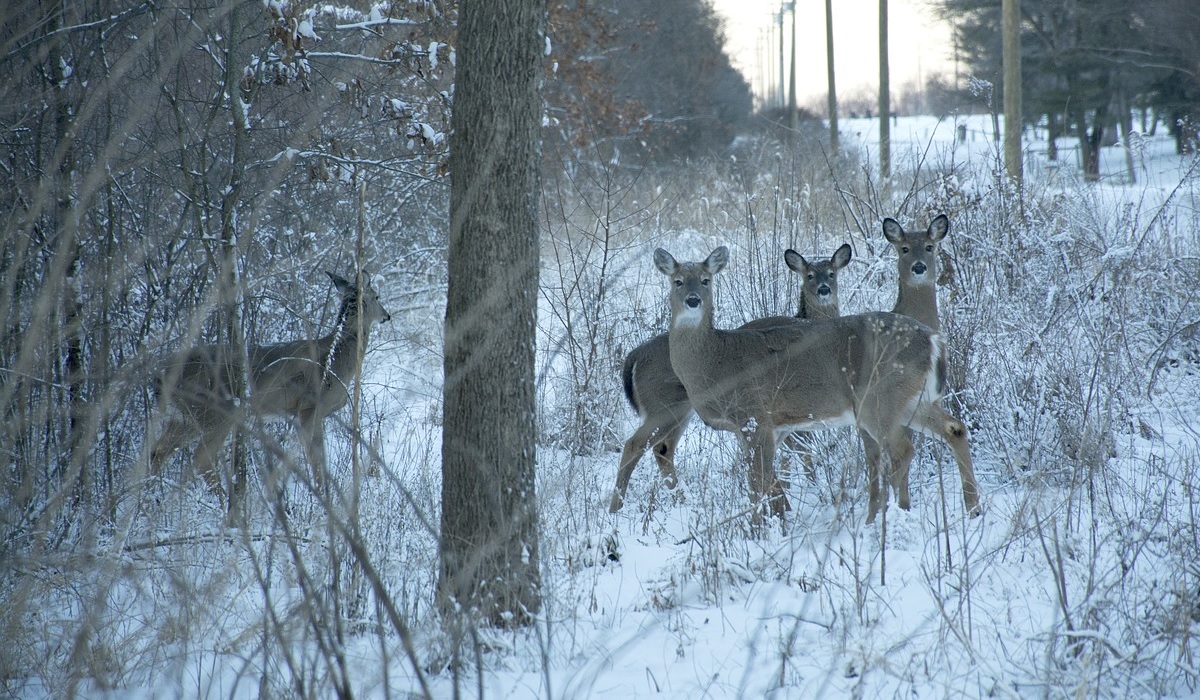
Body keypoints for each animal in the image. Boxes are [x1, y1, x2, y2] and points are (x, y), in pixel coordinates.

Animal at [150, 270, 391, 492]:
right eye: (377, 296)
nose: (387, 316)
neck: (335, 357)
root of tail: (159, 376)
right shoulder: (310, 408)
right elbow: (316, 458)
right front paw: (323, 493)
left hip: (183, 418)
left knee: (157, 451)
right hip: (215, 412)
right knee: (201, 459)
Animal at [609, 243, 854, 511]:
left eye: (832, 273)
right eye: (809, 275)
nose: (824, 289)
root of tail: (633, 357)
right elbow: (798, 451)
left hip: (678, 411)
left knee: (662, 449)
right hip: (663, 405)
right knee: (636, 444)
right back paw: (618, 508)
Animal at [652, 246, 979, 521]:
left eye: (705, 280)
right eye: (678, 281)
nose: (693, 300)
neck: (716, 362)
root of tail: (933, 340)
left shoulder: (754, 416)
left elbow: (759, 480)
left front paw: (762, 528)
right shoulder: (765, 427)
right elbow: (760, 480)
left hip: (879, 397)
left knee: (901, 450)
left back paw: (884, 519)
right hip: (913, 399)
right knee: (954, 428)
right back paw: (971, 507)